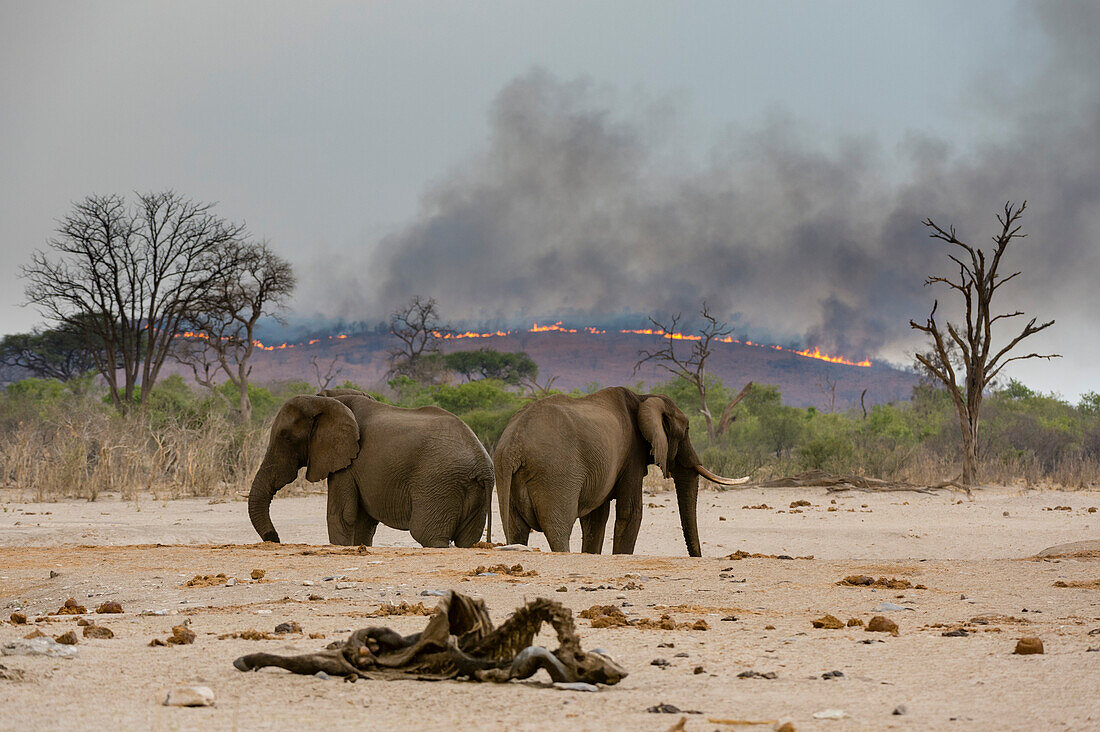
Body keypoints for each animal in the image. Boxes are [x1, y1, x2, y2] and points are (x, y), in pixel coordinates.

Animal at [249, 391, 495, 545]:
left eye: (286, 437)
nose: (275, 539)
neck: (327, 401)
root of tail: (483, 464)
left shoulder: (348, 463)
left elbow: (342, 515)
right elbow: (362, 521)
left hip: (439, 483)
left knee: (428, 535)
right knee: (466, 540)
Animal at [492, 387, 743, 554]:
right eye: (688, 429)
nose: (696, 557)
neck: (643, 399)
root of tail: (513, 445)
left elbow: (595, 519)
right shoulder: (631, 455)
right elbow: (630, 513)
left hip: (507, 476)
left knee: (515, 529)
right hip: (555, 475)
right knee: (558, 530)